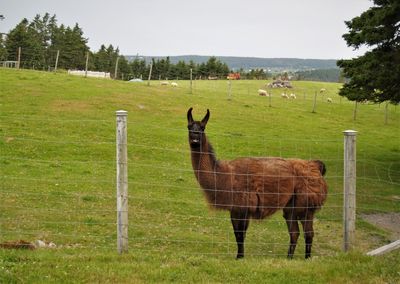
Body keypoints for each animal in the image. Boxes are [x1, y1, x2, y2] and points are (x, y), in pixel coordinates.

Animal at [188, 108, 328, 260]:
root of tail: (315, 165)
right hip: (291, 206)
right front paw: (239, 256)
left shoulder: (244, 206)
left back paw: (307, 258)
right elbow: (237, 235)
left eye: (202, 128)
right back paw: (289, 258)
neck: (226, 176)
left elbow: (241, 235)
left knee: (308, 233)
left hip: (305, 204)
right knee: (295, 233)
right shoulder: (235, 208)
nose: (195, 139)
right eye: (189, 127)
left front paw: (240, 257)